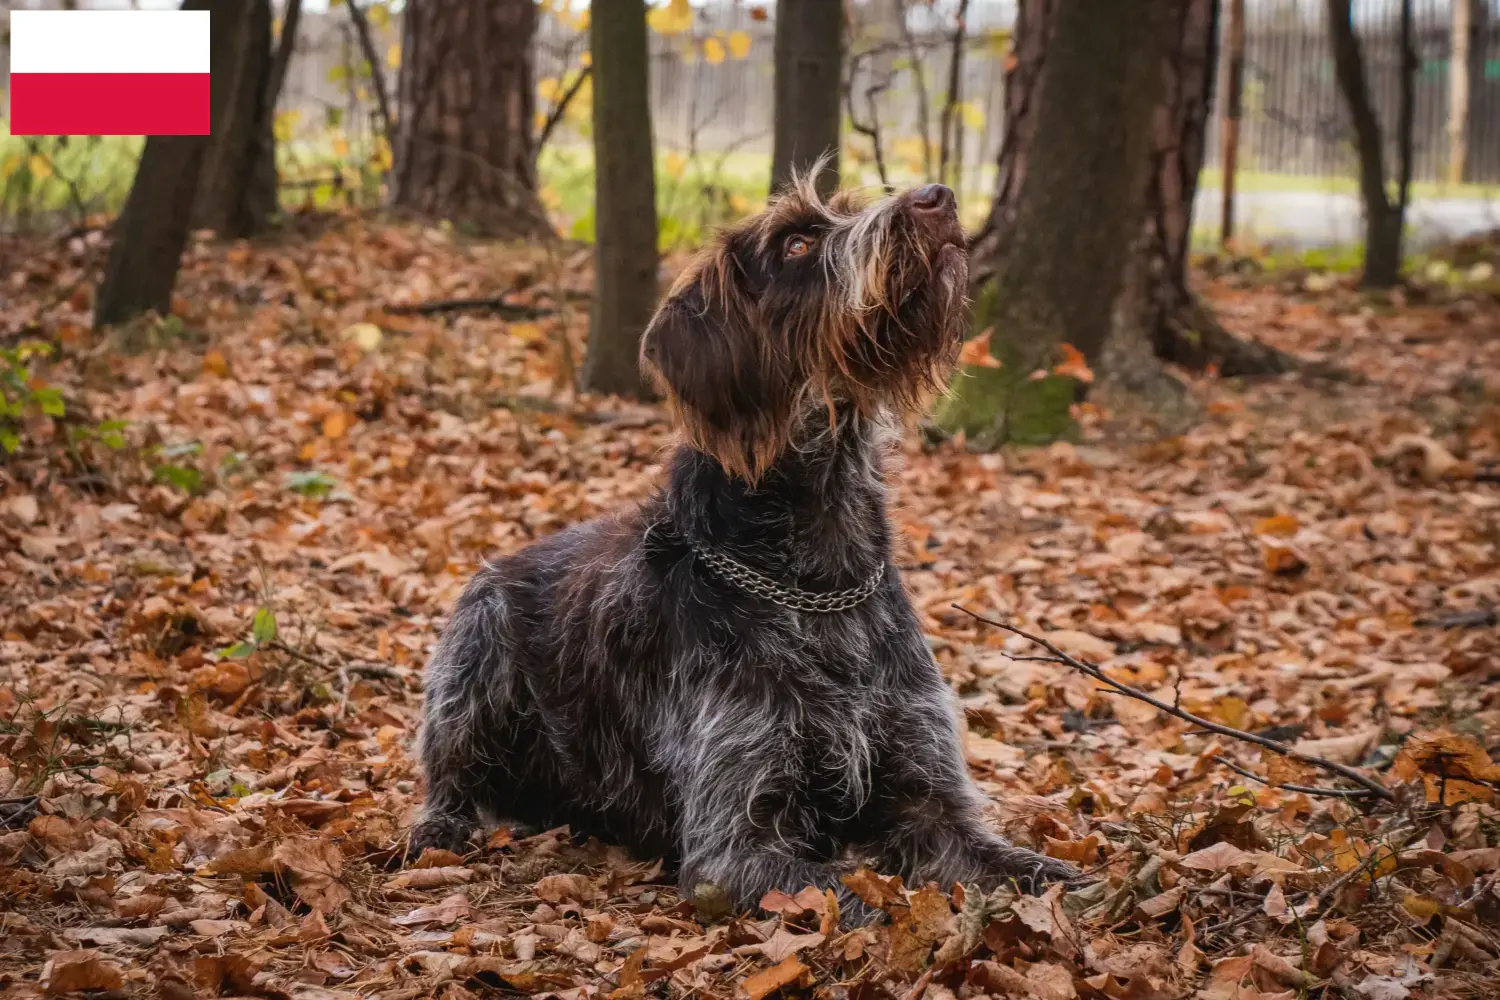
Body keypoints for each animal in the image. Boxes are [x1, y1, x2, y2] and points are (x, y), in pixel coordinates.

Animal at [414, 172, 1080, 923]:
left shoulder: (932, 801)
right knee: (450, 780)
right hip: (475, 653)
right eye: (796, 243)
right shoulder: (734, 844)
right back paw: (439, 828)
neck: (819, 581)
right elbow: (865, 904)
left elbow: (1040, 872)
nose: (936, 196)